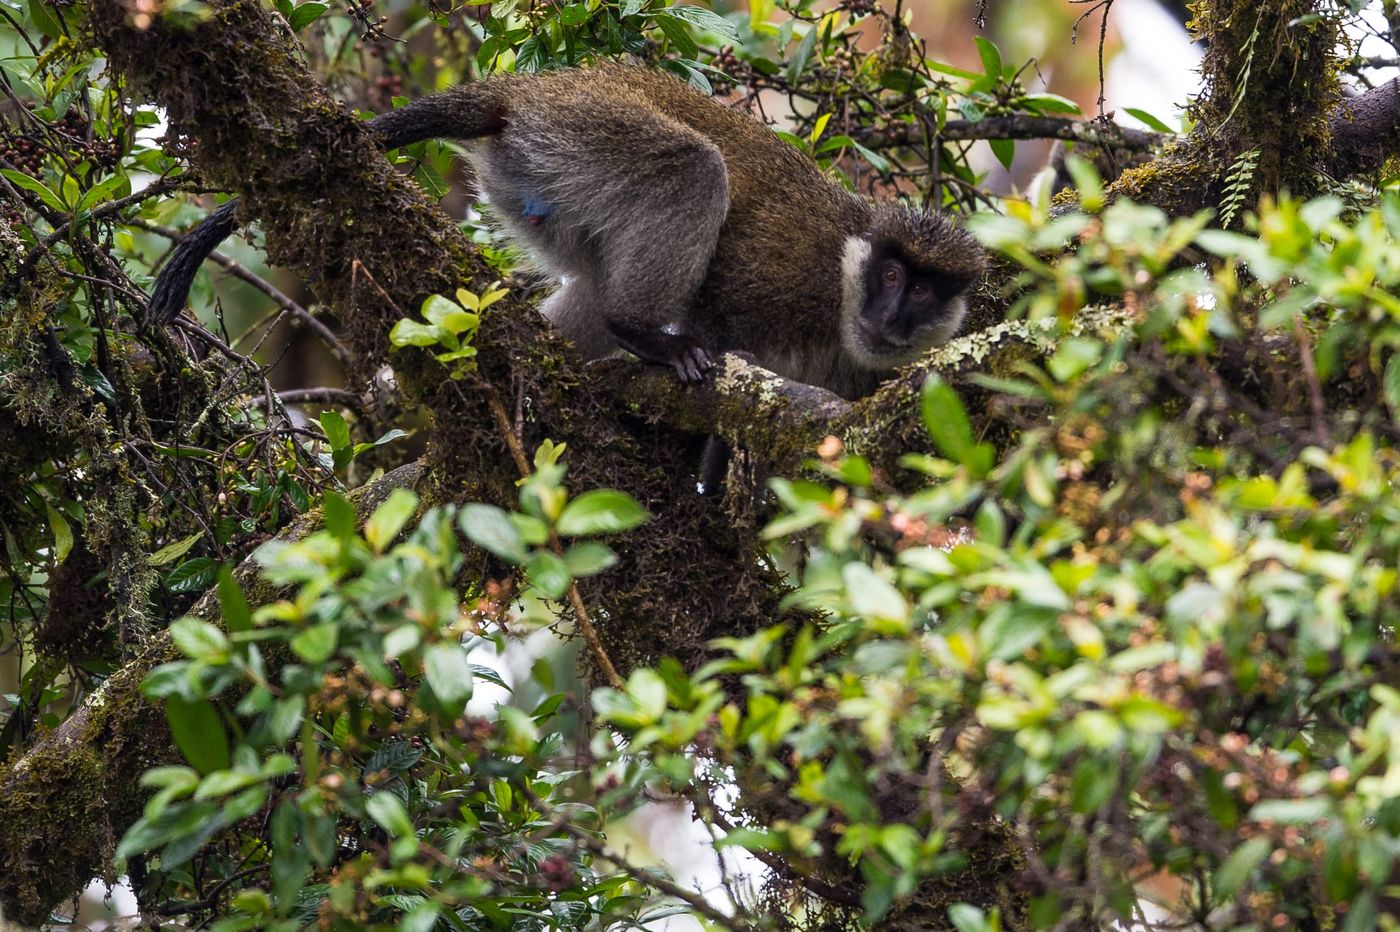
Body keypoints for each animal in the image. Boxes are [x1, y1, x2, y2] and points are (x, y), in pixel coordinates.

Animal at [144, 64, 985, 400]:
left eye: (927, 292)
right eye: (892, 277)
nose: (894, 314)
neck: (840, 292)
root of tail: (529, 91)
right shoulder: (786, 271)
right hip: (585, 136)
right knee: (692, 170)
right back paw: (646, 334)